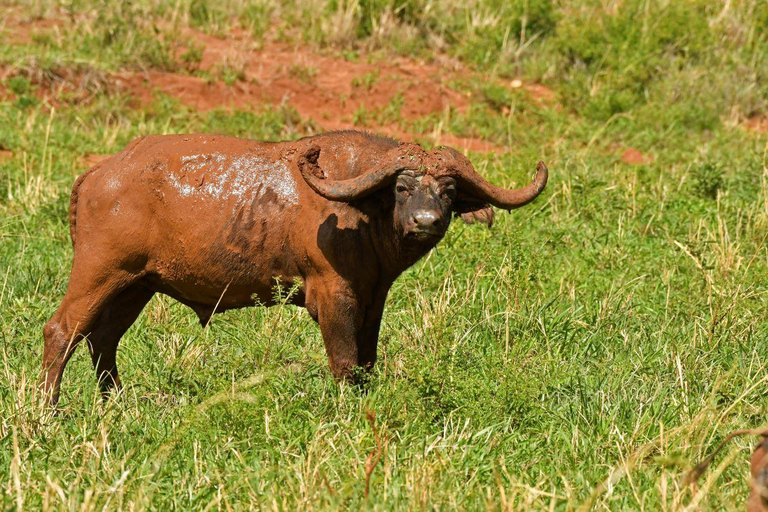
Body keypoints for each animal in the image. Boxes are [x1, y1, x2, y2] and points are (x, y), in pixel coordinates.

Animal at [42, 130, 544, 402]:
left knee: (103, 339)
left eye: (449, 191)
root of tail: (100, 173)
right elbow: (344, 363)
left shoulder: (373, 300)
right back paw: (51, 411)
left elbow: (368, 362)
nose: (426, 222)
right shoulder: (333, 296)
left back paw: (115, 403)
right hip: (99, 273)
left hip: (137, 285)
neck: (362, 212)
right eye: (401, 188)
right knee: (62, 331)